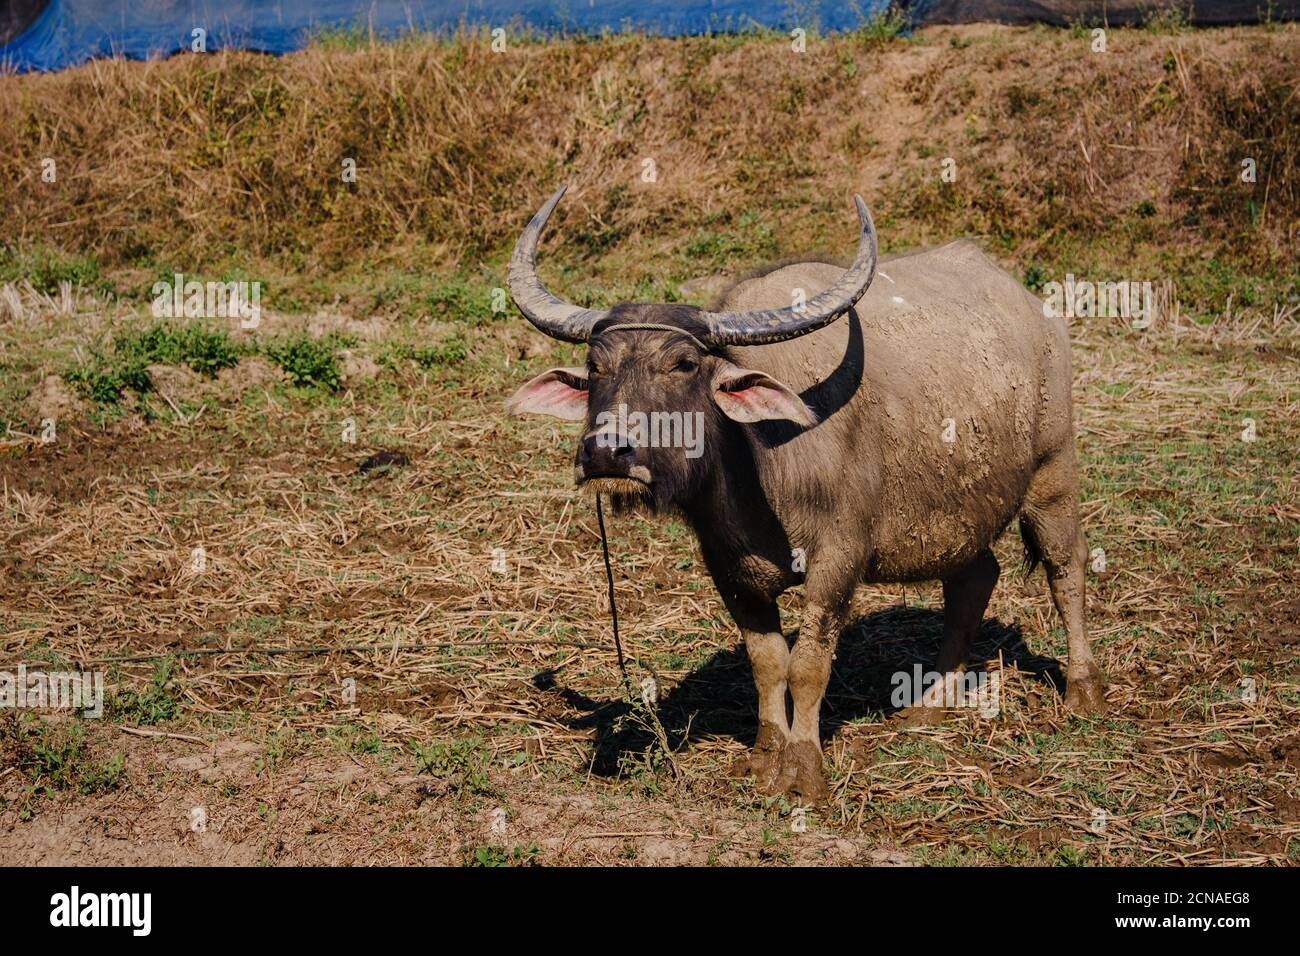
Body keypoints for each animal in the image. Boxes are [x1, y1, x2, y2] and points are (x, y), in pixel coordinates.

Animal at [501, 184, 1102, 801]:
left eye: (684, 363)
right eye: (595, 365)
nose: (606, 453)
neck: (757, 467)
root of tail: (1037, 314)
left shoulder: (839, 556)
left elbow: (810, 663)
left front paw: (804, 768)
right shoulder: (728, 567)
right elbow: (768, 662)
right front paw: (766, 755)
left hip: (1053, 471)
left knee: (1065, 565)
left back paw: (1082, 691)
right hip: (958, 516)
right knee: (975, 579)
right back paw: (931, 701)